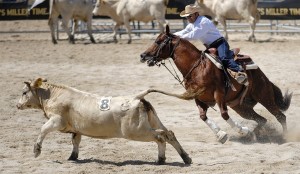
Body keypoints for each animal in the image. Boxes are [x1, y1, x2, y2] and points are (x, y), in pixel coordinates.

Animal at [16, 77, 191, 164]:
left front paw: (36, 150)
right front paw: (73, 157)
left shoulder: (57, 120)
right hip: (152, 122)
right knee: (168, 134)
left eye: (24, 92)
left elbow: (43, 129)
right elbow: (75, 141)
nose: (17, 105)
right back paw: (181, 158)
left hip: (136, 131)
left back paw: (167, 159)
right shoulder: (76, 129)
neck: (52, 95)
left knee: (161, 136)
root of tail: (136, 97)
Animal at [141, 25, 292, 143]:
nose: (143, 55)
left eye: (158, 41)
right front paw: (222, 135)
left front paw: (241, 131)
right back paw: (255, 134)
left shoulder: (219, 94)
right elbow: (203, 116)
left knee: (280, 116)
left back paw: (284, 137)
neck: (197, 67)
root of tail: (261, 74)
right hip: (241, 107)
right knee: (262, 120)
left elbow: (224, 114)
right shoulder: (199, 97)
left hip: (264, 96)